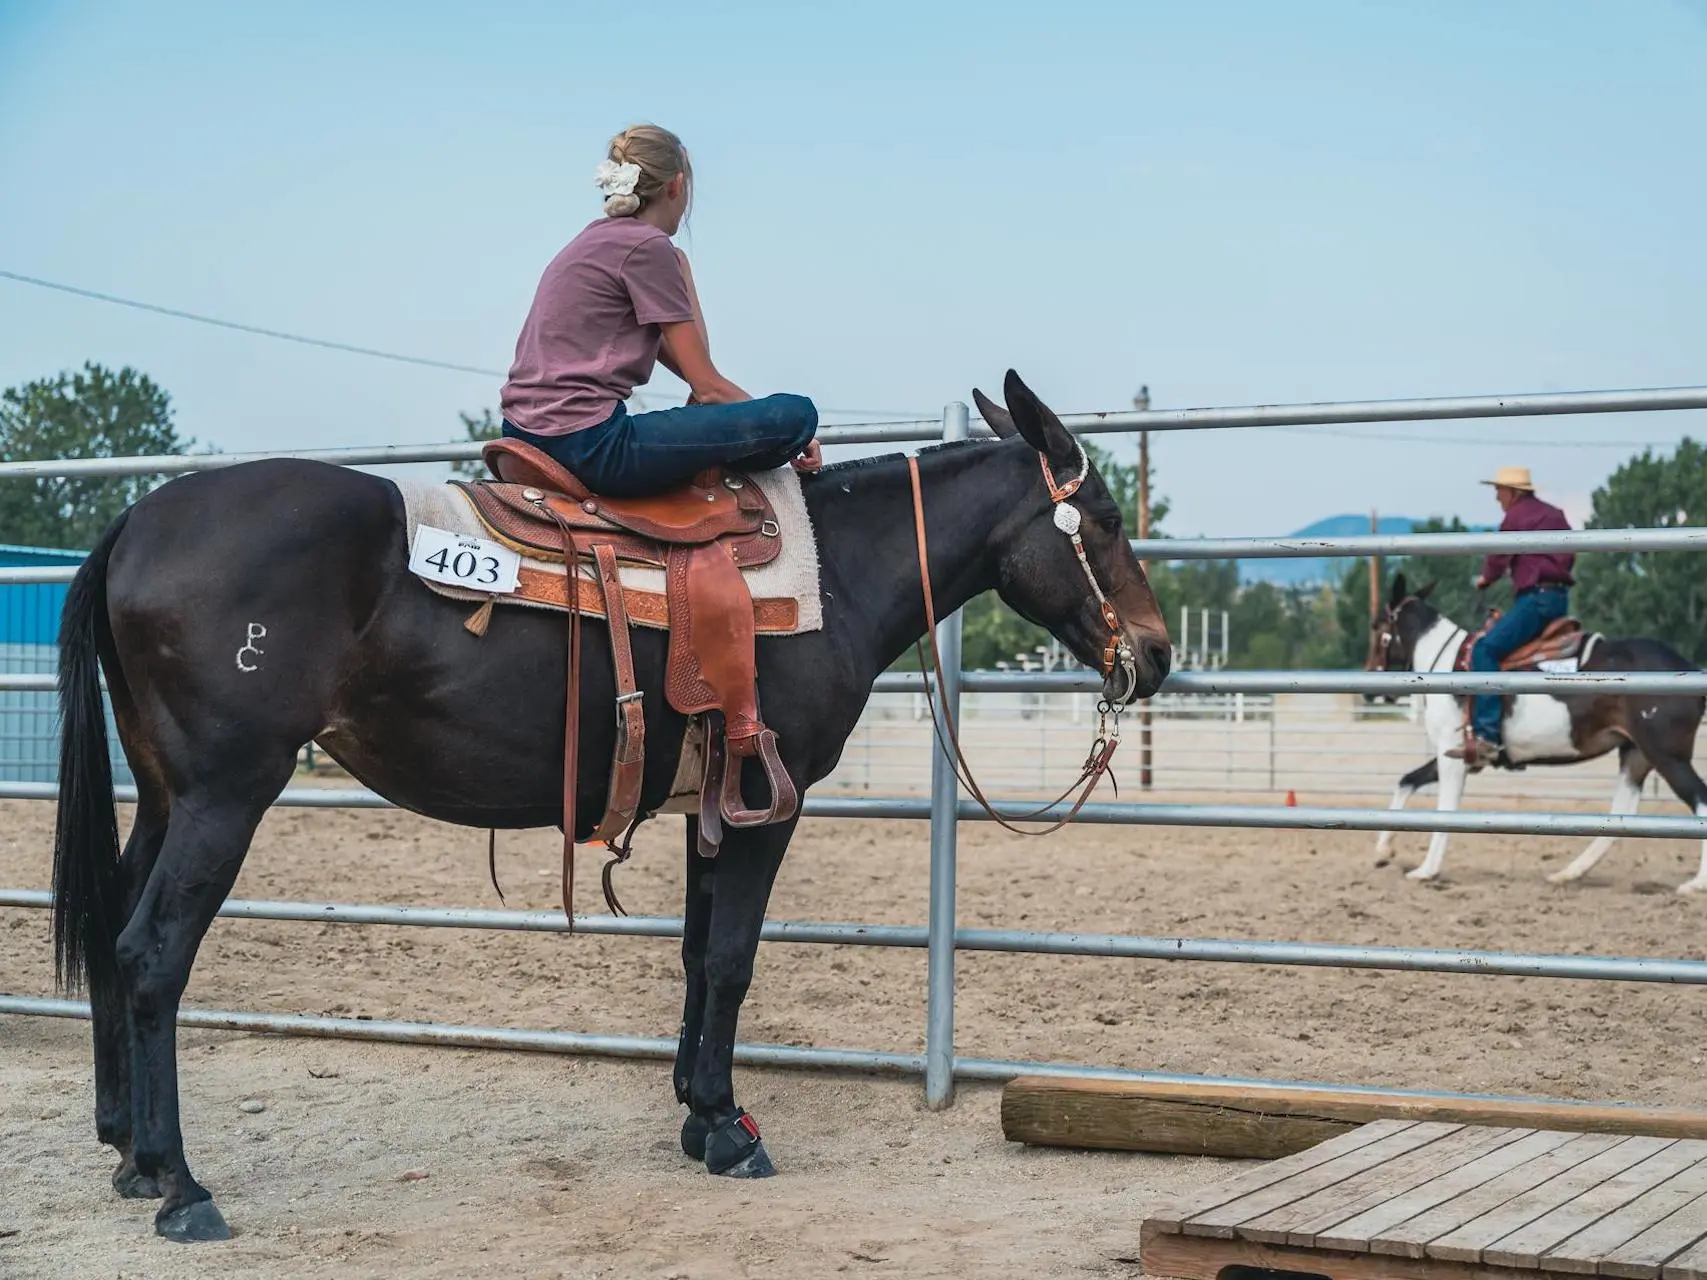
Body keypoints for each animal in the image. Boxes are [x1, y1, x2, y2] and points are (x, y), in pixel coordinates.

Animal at [1365, 580, 1707, 894]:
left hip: (1668, 756)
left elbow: (1444, 809)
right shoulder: (1458, 754)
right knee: (1619, 817)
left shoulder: (1451, 753)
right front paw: (1383, 850)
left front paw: (1426, 870)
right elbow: (1406, 781)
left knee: (1699, 801)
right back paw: (1568, 873)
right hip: (1636, 754)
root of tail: (1689, 668)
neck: (1449, 664)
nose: (1370, 689)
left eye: (1378, 628)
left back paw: (1696, 884)